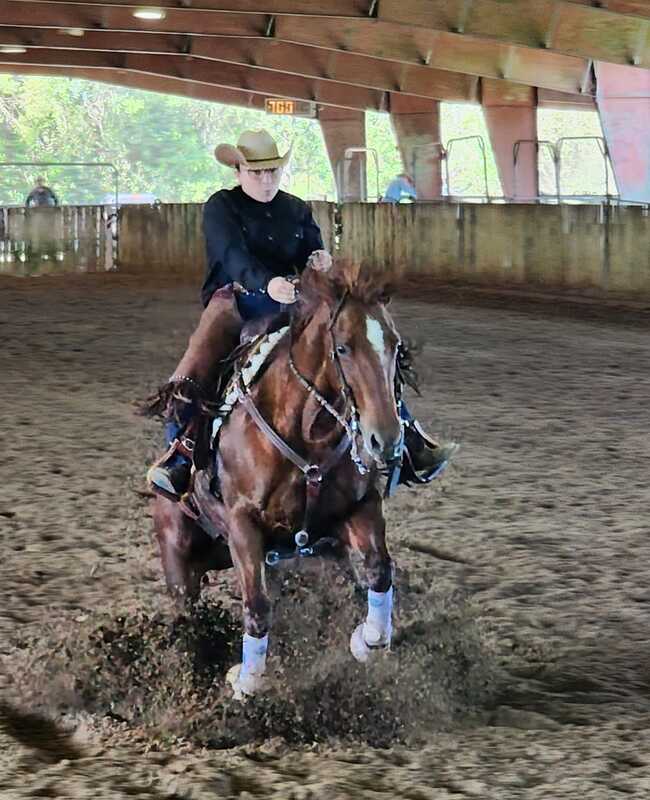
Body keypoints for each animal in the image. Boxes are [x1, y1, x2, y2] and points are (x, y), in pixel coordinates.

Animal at [151, 260, 400, 692]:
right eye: (343, 347)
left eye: (395, 347)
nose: (385, 440)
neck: (306, 432)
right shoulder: (242, 524)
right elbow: (256, 608)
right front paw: (245, 683)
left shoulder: (359, 508)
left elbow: (379, 573)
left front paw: (367, 640)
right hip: (177, 556)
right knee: (188, 617)